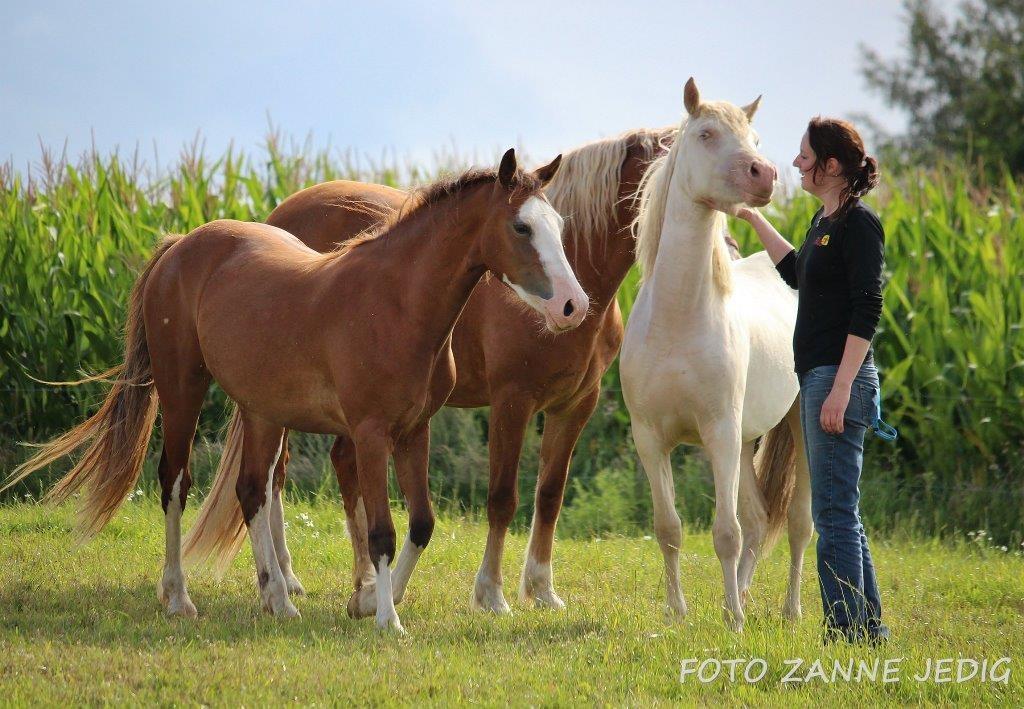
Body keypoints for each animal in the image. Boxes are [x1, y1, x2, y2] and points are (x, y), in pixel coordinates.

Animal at [6, 148, 585, 631]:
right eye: (521, 226)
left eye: (557, 225)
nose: (573, 307)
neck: (395, 303)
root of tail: (178, 247)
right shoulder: (370, 434)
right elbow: (381, 530)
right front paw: (386, 619)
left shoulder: (413, 431)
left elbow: (421, 524)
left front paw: (370, 601)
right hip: (182, 389)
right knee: (175, 481)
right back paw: (179, 598)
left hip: (261, 412)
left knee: (253, 490)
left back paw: (277, 598)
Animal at [184, 128, 749, 618]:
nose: (733, 252)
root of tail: (275, 217)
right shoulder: (512, 400)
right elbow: (502, 498)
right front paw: (491, 594)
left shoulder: (576, 405)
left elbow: (549, 495)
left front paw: (541, 590)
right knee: (275, 479)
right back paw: (289, 580)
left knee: (328, 468)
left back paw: (354, 582)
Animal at [618, 80, 811, 635]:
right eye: (706, 134)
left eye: (756, 138)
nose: (764, 174)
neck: (678, 320)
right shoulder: (651, 439)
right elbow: (669, 528)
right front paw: (677, 611)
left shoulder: (718, 434)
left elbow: (724, 532)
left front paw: (734, 621)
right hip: (745, 442)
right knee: (759, 520)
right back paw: (742, 593)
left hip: (795, 427)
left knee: (797, 525)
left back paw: (787, 610)